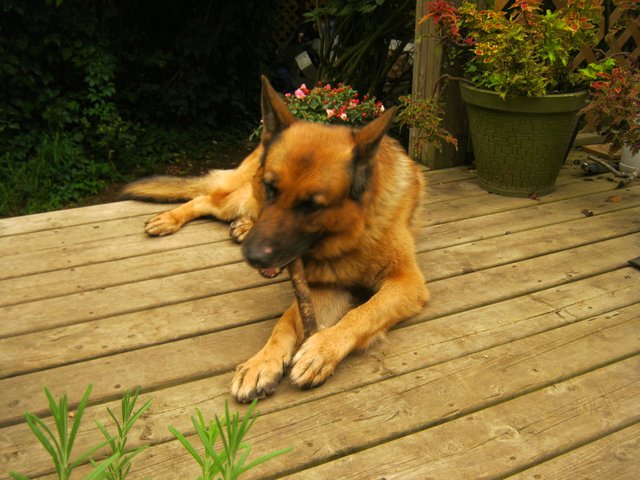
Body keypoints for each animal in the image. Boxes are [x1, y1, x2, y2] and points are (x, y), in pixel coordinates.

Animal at [121, 77, 430, 404]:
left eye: (312, 205)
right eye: (271, 188)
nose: (253, 256)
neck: (353, 234)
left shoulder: (406, 282)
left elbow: (362, 313)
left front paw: (322, 349)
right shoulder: (322, 288)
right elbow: (286, 321)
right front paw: (262, 362)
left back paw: (241, 227)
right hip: (243, 195)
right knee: (206, 199)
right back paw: (170, 219)